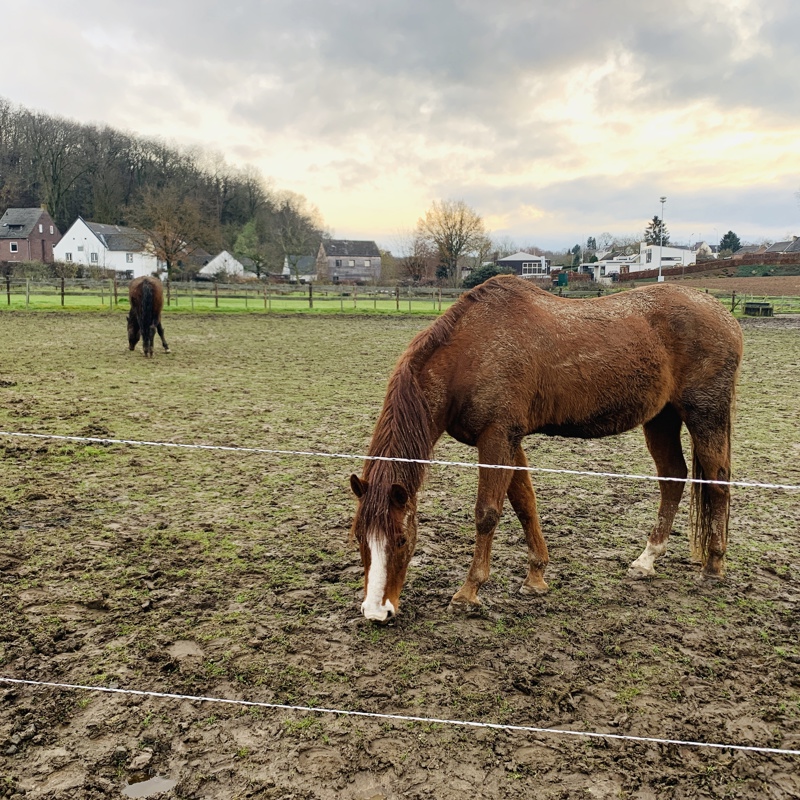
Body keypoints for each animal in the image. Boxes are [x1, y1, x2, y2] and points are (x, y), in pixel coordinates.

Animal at [350, 278, 744, 620]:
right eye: (358, 537)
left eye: (401, 540)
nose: (376, 611)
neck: (471, 352)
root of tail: (726, 317)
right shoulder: (510, 442)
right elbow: (525, 504)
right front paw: (536, 576)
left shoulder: (497, 438)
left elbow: (487, 513)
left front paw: (469, 592)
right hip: (661, 419)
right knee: (673, 479)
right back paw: (647, 560)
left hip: (706, 415)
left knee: (717, 481)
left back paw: (713, 566)